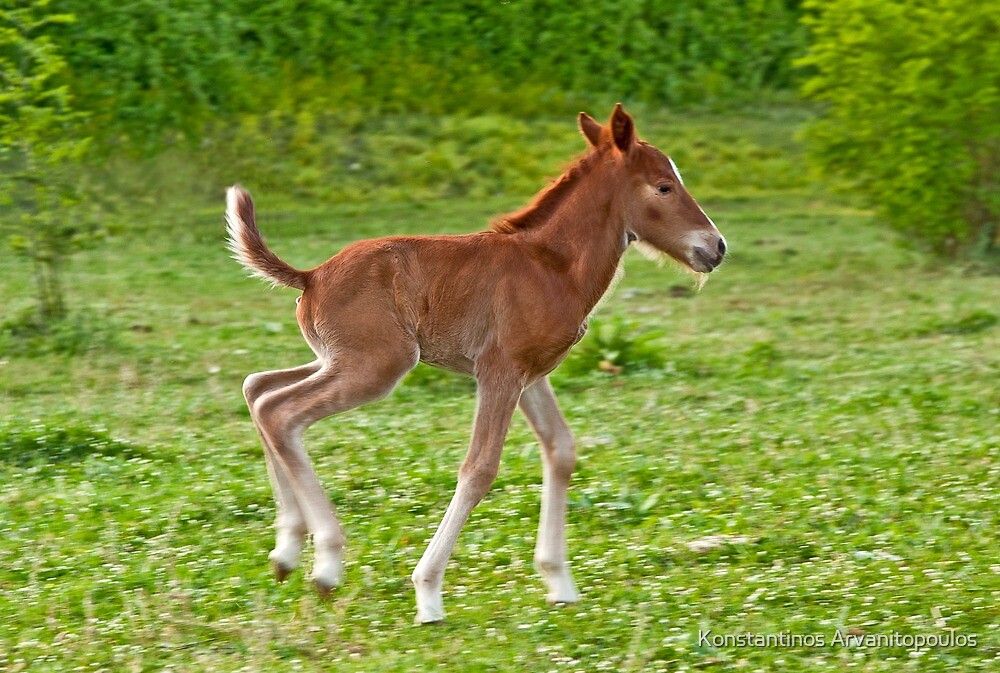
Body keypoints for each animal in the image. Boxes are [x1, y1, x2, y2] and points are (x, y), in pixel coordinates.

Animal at [227, 102, 728, 624]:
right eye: (664, 186)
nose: (716, 247)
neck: (551, 264)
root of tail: (310, 276)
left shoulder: (531, 376)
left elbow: (561, 450)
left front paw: (559, 581)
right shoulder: (498, 372)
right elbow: (480, 467)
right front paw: (428, 592)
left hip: (338, 360)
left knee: (258, 388)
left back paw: (287, 551)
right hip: (376, 367)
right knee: (281, 410)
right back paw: (325, 562)